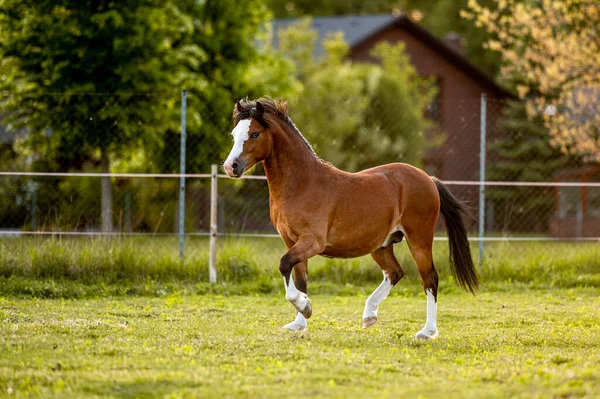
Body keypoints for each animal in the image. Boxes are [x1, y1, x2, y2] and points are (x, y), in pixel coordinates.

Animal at [221, 98, 478, 340]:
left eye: (254, 134)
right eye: (234, 135)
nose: (230, 167)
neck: (302, 183)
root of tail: (429, 179)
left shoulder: (312, 242)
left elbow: (284, 265)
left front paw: (304, 307)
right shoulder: (291, 241)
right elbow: (300, 279)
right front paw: (299, 322)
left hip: (419, 239)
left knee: (430, 279)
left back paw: (427, 331)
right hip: (381, 245)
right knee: (395, 272)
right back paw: (369, 316)